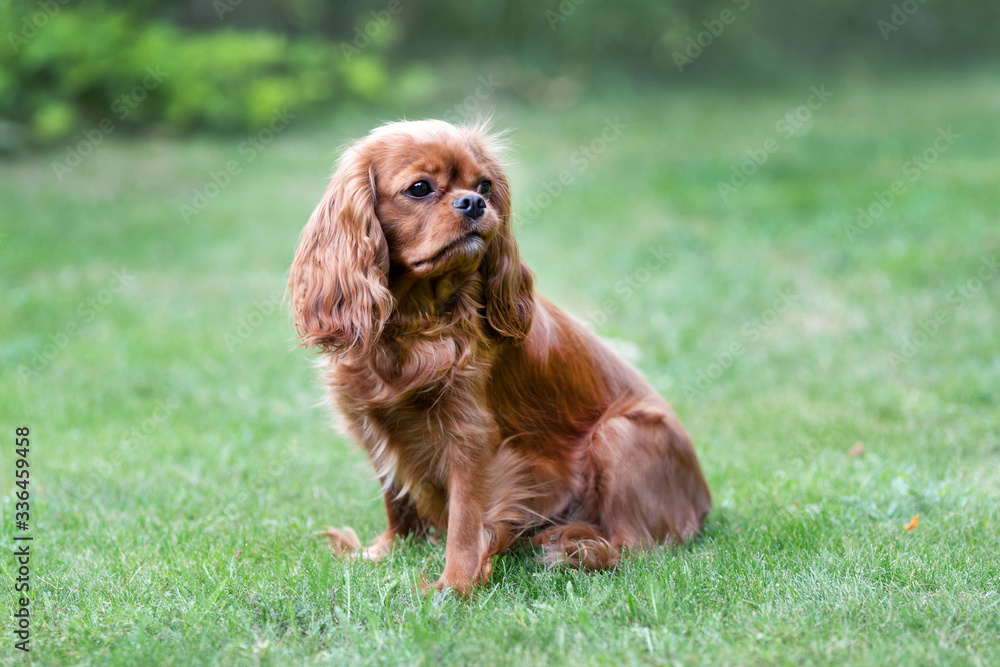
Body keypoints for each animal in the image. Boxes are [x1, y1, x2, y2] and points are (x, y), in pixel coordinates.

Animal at [290, 120, 712, 596]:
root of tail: (704, 502)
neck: (416, 319)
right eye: (420, 188)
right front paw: (382, 553)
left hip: (618, 433)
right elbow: (397, 500)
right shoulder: (372, 422)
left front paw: (453, 586)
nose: (474, 202)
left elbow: (465, 521)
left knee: (632, 546)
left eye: (485, 186)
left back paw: (574, 549)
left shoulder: (472, 441)